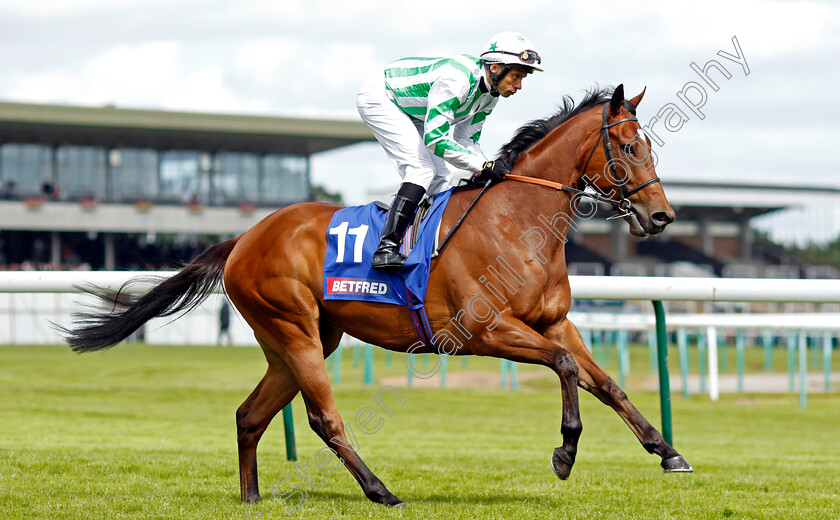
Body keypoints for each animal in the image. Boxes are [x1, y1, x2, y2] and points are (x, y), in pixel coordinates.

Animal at [65, 85, 692, 508]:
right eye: (628, 146)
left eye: (651, 147)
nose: (662, 216)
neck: (518, 221)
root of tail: (244, 237)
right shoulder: (484, 331)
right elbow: (564, 366)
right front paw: (565, 453)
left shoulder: (556, 321)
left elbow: (606, 382)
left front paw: (668, 452)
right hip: (293, 329)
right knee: (324, 418)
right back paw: (380, 490)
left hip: (299, 339)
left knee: (250, 414)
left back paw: (252, 497)